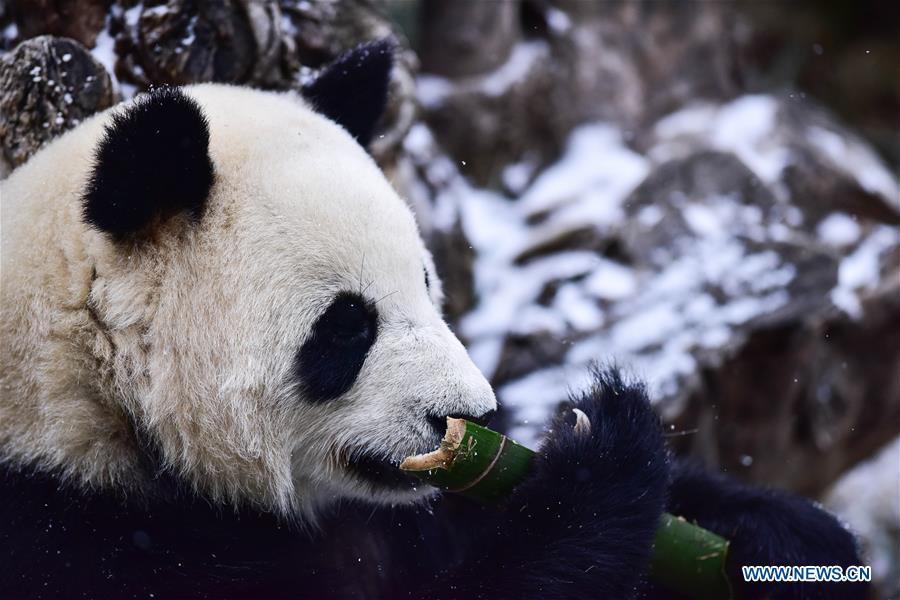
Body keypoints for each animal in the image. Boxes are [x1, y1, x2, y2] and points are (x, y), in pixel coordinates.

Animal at [0, 43, 868, 600]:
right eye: (347, 328)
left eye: (427, 285)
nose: (470, 416)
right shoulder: (74, 536)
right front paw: (603, 465)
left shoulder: (419, 513)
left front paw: (785, 538)